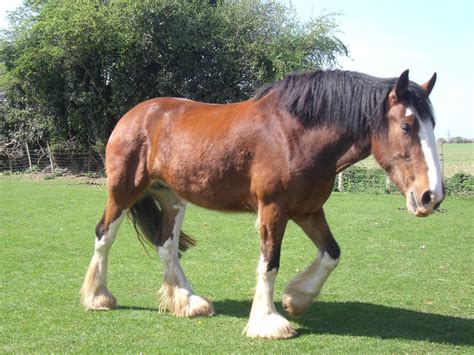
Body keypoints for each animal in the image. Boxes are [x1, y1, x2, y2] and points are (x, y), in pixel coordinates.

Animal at [80, 69, 444, 340]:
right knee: (104, 235)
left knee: (166, 246)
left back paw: (189, 301)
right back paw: (99, 297)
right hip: (123, 191)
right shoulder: (273, 209)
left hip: (171, 197)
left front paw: (297, 298)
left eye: (433, 125)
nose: (431, 196)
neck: (296, 135)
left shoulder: (308, 210)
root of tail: (134, 115)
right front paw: (268, 321)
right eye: (407, 125)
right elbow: (269, 264)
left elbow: (332, 253)